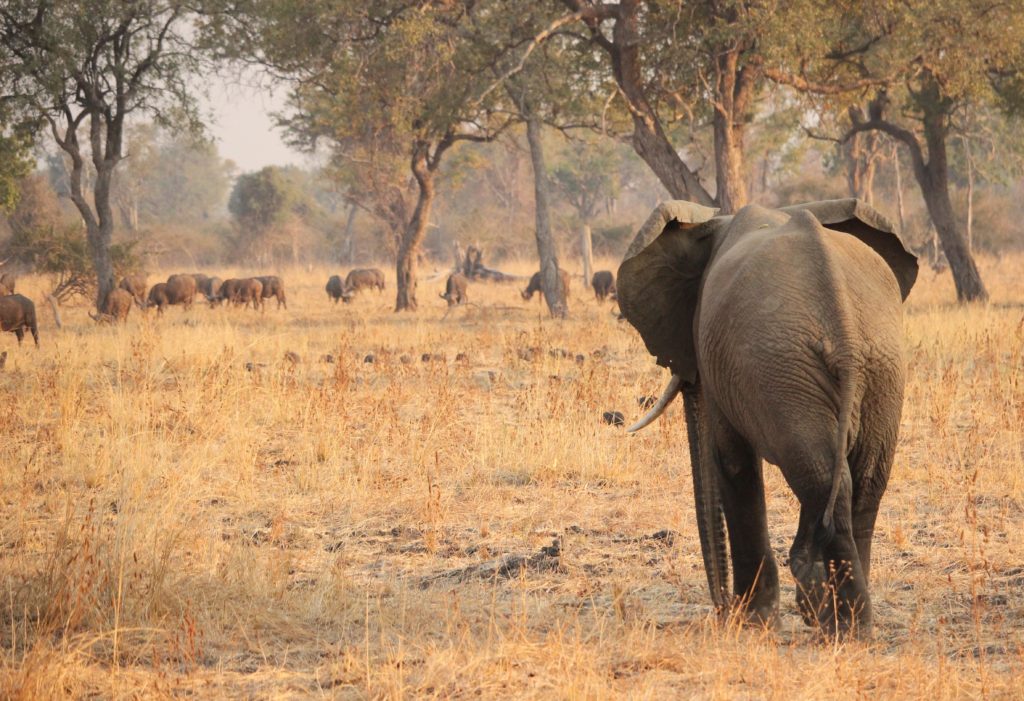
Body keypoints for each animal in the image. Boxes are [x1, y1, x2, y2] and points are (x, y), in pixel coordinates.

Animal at [617, 199, 918, 638]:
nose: (720, 608)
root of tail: (843, 325)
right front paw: (803, 604)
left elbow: (732, 461)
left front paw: (753, 620)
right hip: (876, 367)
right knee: (856, 481)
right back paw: (851, 625)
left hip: (787, 368)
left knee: (823, 478)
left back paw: (844, 628)